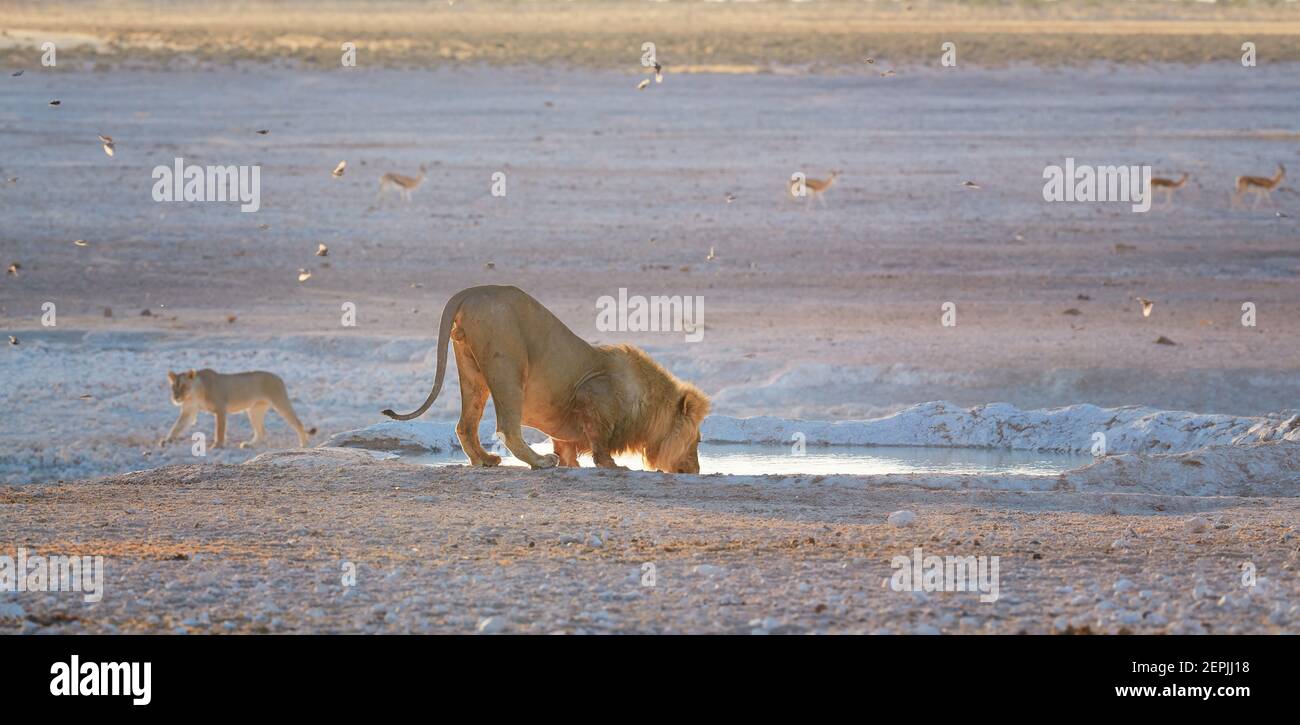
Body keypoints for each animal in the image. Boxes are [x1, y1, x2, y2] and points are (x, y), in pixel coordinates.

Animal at [379, 287, 712, 475]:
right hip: (508, 362)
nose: (696, 470)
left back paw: (485, 460)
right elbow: (600, 445)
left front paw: (571, 465)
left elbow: (567, 444)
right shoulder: (591, 394)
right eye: (696, 441)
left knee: (465, 425)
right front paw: (614, 466)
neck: (648, 404)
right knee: (507, 427)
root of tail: (468, 293)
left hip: (473, 371)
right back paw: (539, 462)